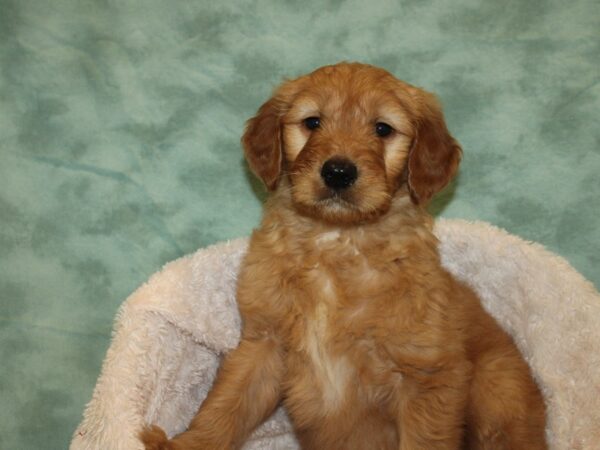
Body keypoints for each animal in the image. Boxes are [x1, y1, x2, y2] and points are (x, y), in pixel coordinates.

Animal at [142, 63, 548, 450]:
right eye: (313, 122)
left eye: (383, 129)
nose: (338, 171)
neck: (336, 245)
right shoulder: (263, 344)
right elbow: (224, 407)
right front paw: (185, 444)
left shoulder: (427, 374)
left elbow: (424, 439)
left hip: (497, 393)